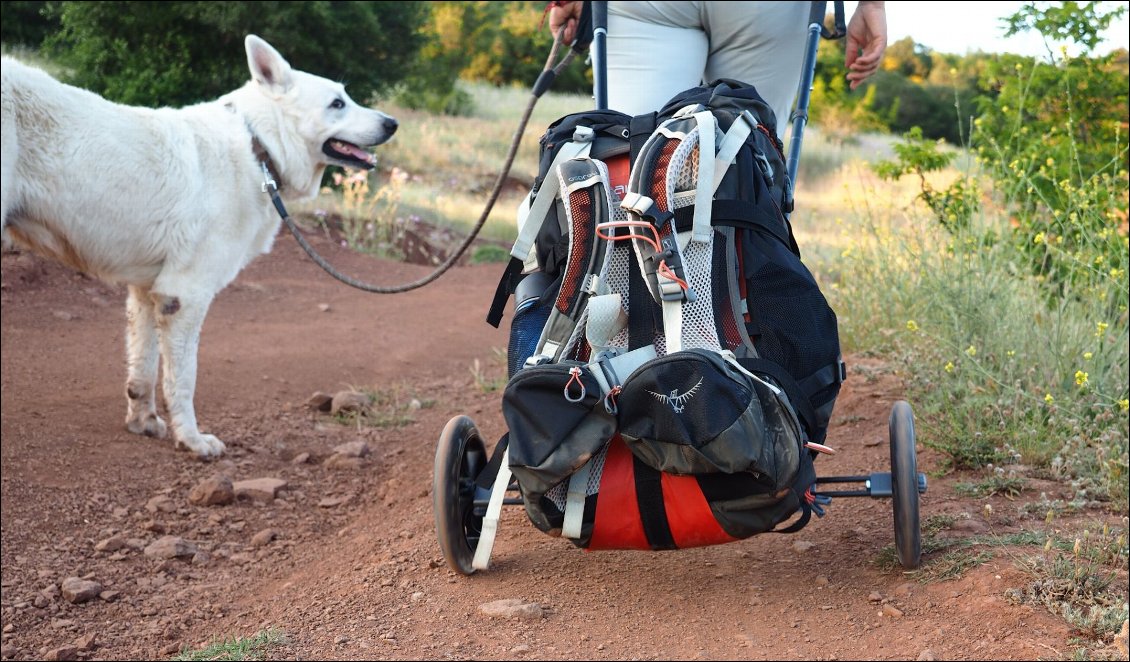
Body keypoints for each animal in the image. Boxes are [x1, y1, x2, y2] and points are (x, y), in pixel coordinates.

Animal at [0, 36, 400, 456]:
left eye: (347, 97)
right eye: (337, 103)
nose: (392, 123)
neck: (259, 147)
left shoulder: (147, 293)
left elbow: (142, 372)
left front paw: (143, 423)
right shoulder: (185, 296)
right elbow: (183, 380)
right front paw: (191, 440)